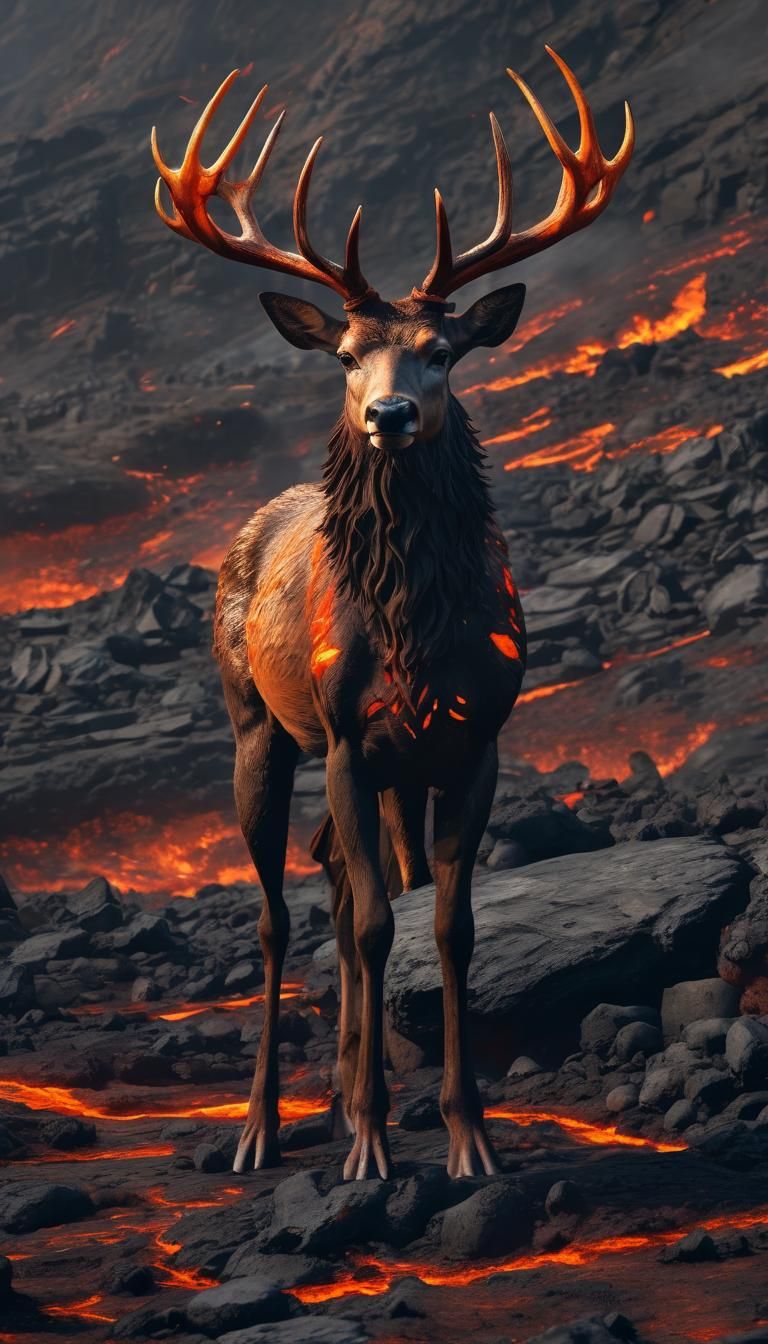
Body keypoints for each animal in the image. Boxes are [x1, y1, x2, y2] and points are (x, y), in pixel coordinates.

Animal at [152, 47, 633, 1181]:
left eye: (443, 352)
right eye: (345, 356)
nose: (390, 414)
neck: (418, 628)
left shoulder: (474, 738)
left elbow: (447, 923)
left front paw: (466, 1135)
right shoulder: (344, 737)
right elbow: (378, 926)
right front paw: (372, 1140)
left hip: (385, 767)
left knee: (335, 871)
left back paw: (334, 1096)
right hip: (258, 726)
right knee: (281, 912)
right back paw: (264, 1126)